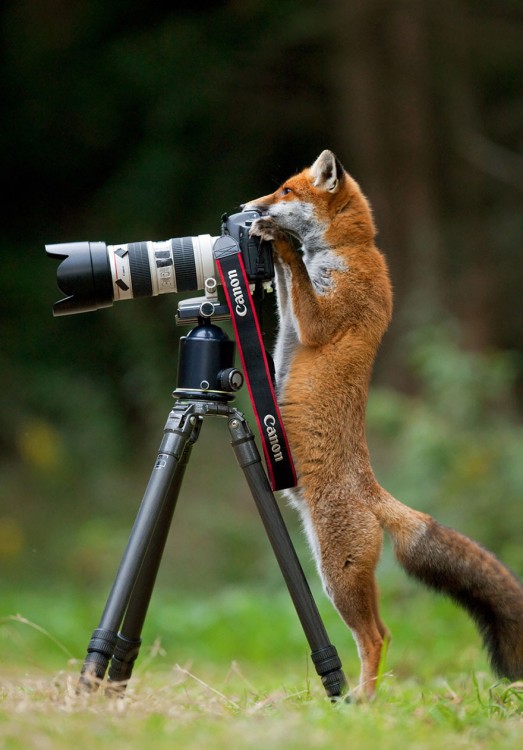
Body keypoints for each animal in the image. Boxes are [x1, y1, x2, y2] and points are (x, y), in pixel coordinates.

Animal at [246, 150, 523, 704]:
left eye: (285, 191)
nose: (246, 208)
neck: (349, 252)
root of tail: (373, 492)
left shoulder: (324, 318)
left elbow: (297, 278)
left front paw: (279, 241)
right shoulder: (294, 314)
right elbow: (287, 291)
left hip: (336, 574)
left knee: (377, 636)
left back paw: (364, 703)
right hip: (337, 573)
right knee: (383, 633)